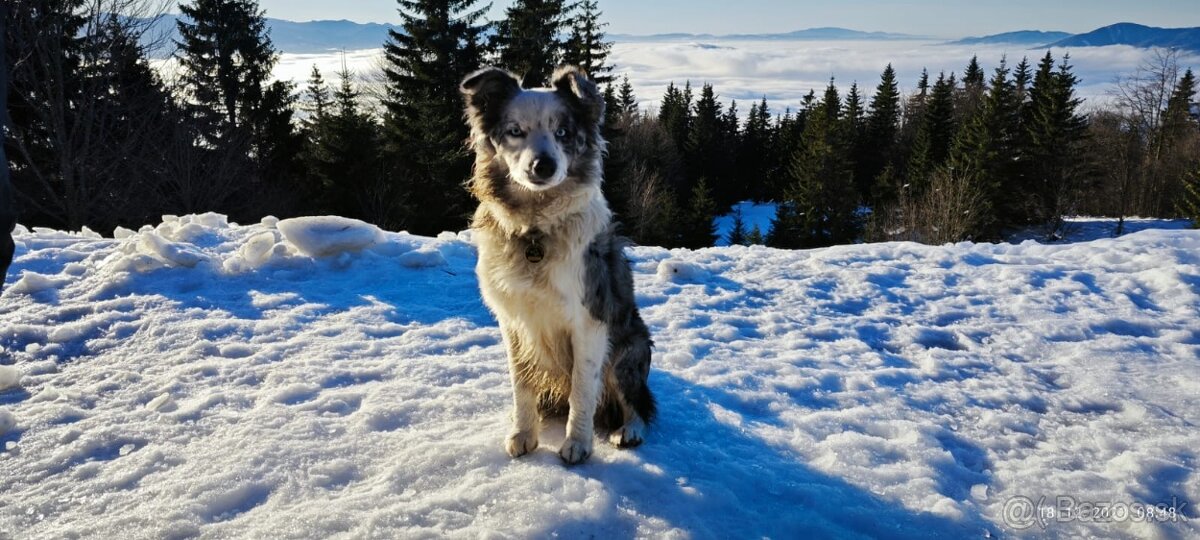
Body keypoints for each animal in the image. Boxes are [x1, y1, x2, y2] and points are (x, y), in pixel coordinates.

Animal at [460, 66, 657, 463]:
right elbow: (521, 384)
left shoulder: (590, 320)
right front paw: (524, 432)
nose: (543, 165)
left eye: (563, 132)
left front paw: (577, 443)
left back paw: (628, 430)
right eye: (515, 131)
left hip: (629, 350)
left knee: (637, 404)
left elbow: (582, 388)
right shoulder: (514, 322)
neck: (535, 229)